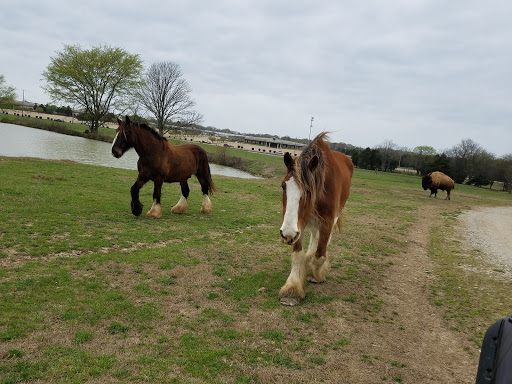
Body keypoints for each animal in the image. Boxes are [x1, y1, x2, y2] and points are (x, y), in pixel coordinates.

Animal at [276, 132, 356, 306]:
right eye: (283, 186)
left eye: (308, 190)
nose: (286, 234)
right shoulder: (299, 225)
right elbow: (298, 255)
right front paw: (292, 288)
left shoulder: (326, 221)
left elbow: (320, 256)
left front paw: (317, 274)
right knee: (314, 236)